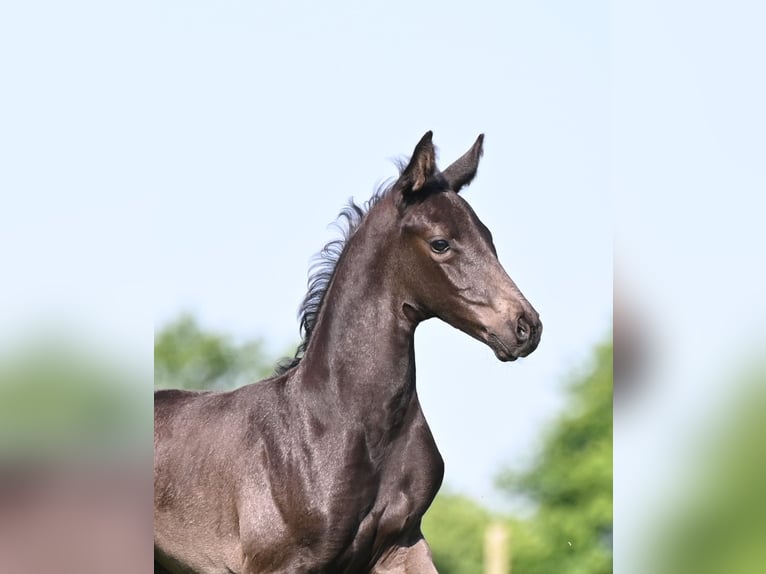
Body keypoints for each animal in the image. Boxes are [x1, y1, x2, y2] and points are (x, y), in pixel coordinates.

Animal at [154, 131, 542, 573]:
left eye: (489, 238)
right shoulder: (280, 563)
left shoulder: (402, 544)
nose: (526, 326)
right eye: (440, 243)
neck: (339, 421)